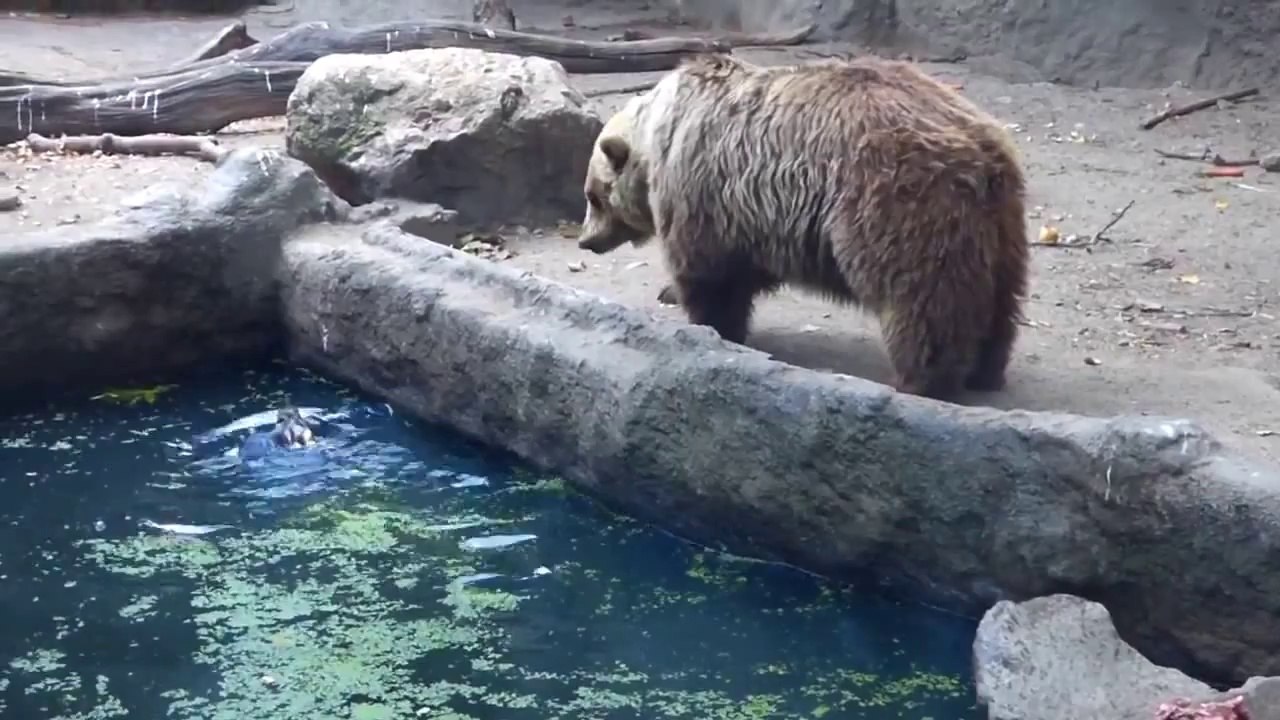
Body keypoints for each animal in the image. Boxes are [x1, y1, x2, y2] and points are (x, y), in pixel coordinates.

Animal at [574, 53, 1030, 402]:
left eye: (593, 196)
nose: (585, 241)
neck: (656, 135)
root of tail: (980, 146)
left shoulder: (699, 185)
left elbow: (707, 273)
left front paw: (706, 321)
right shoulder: (750, 214)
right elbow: (744, 269)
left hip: (898, 198)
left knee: (923, 298)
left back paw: (921, 380)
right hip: (1000, 223)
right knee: (1000, 297)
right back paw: (986, 370)